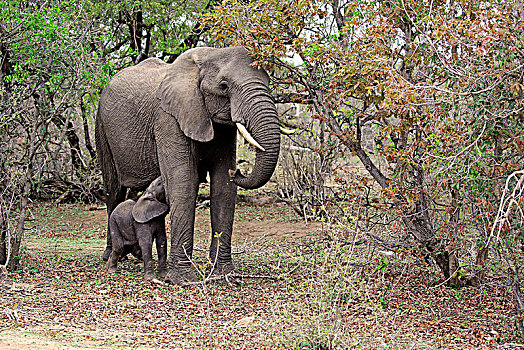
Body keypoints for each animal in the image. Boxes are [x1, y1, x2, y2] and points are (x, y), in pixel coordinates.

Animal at [95, 46, 280, 286]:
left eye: (268, 82)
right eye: (224, 86)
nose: (238, 170)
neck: (208, 57)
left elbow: (223, 188)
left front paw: (224, 274)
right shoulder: (167, 119)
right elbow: (183, 184)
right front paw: (181, 280)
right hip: (101, 127)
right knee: (113, 190)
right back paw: (110, 256)